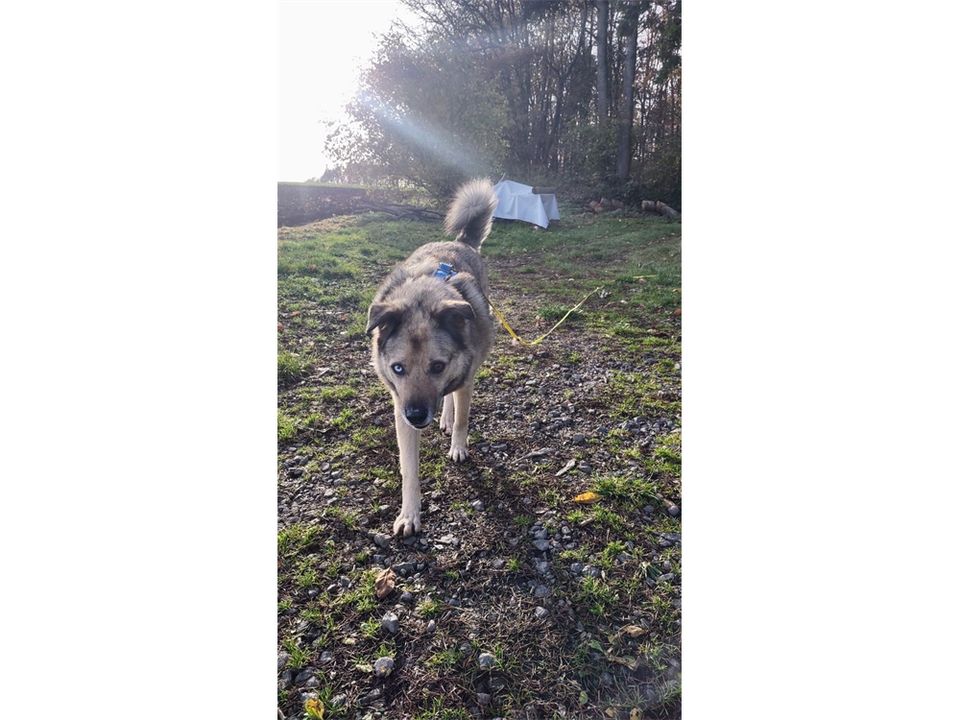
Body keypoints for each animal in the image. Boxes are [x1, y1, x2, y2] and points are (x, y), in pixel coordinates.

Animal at [366, 178, 498, 536]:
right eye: (398, 368)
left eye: (437, 366)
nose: (416, 416)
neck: (425, 294)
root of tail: (458, 242)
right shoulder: (399, 406)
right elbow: (409, 469)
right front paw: (409, 514)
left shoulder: (463, 379)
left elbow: (463, 418)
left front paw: (458, 445)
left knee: (453, 398)